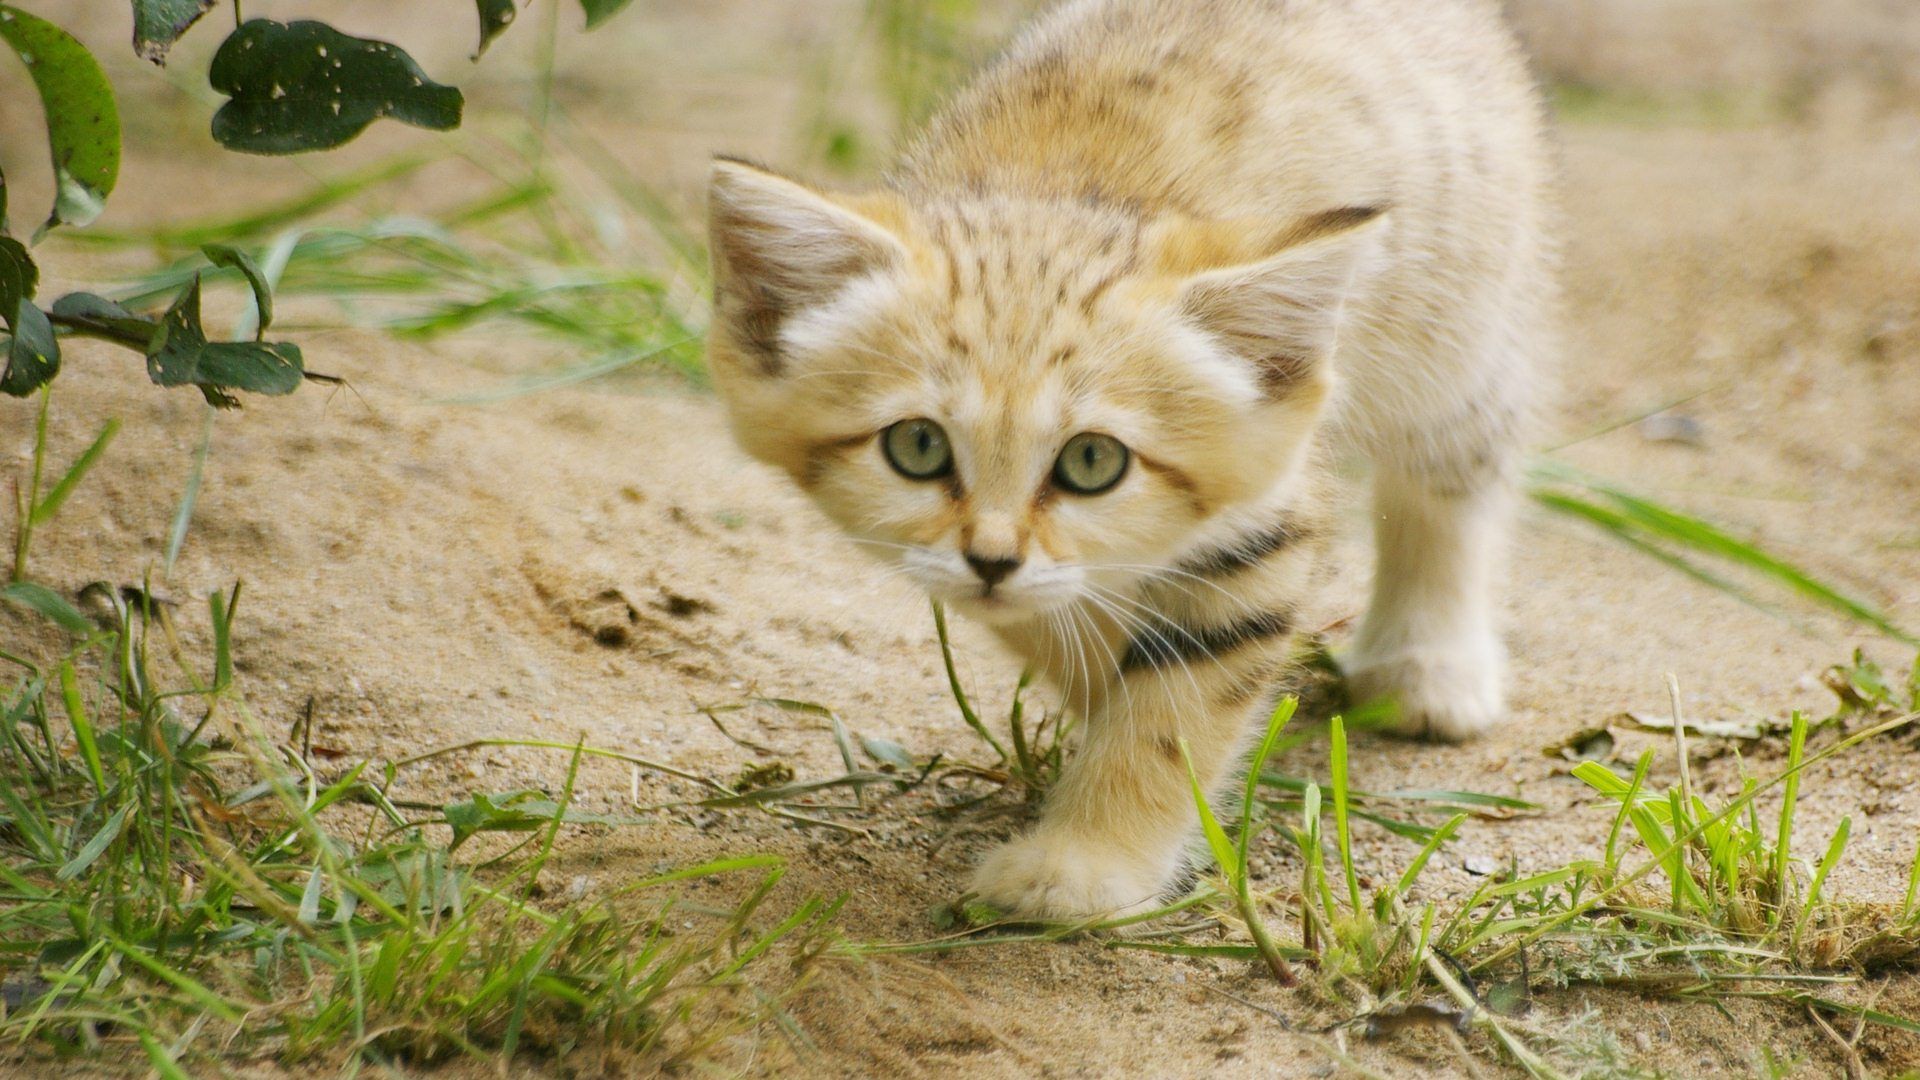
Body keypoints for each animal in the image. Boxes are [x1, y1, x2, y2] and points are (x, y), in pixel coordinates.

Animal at [698, 0, 1551, 914]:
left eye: (1092, 463)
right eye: (918, 446)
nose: (990, 559)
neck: (1057, 188)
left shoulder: (1259, 522)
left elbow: (1168, 716)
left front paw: (1084, 864)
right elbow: (1067, 625)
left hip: (1461, 330)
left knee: (1454, 482)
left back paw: (1429, 665)